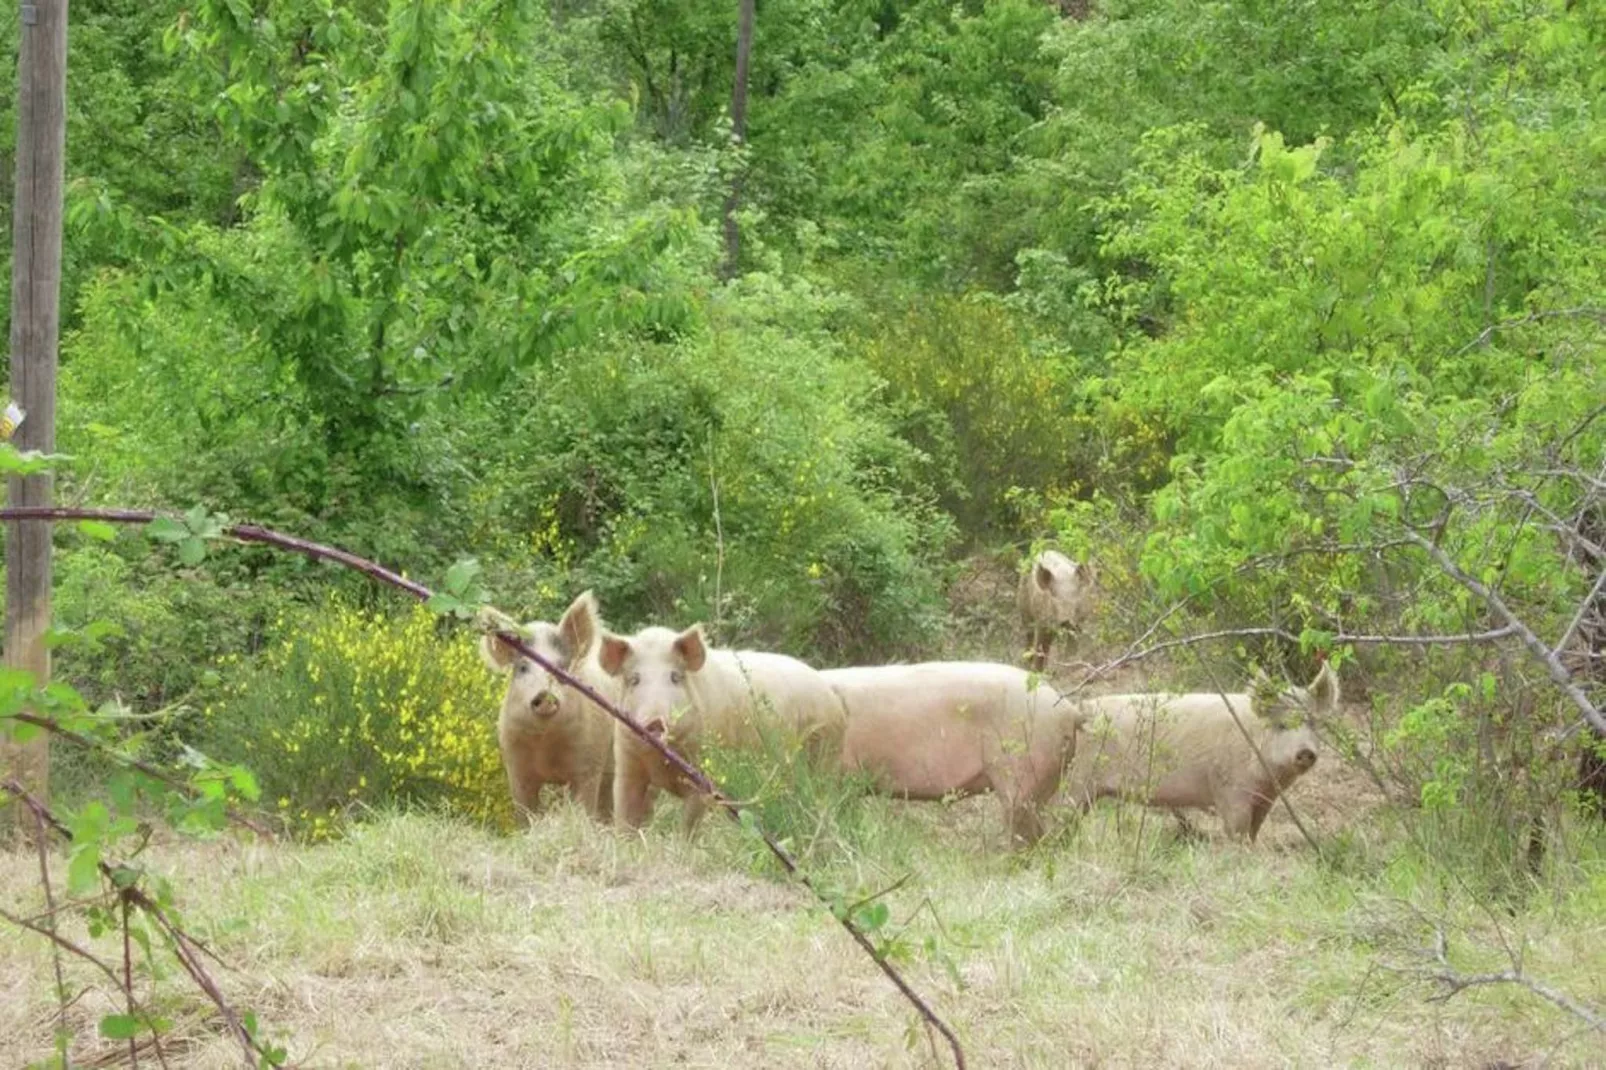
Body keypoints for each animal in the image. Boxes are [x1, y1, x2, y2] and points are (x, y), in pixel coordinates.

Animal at [472, 588, 616, 819]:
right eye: (522, 667)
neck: (546, 743)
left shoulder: (590, 764)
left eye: (561, 668)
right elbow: (525, 812)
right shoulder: (516, 768)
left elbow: (585, 806)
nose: (545, 695)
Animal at [600, 626, 854, 835]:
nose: (655, 721)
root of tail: (830, 694)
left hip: (825, 755)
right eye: (634, 679)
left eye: (675, 677)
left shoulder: (704, 772)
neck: (662, 762)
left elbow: (690, 822)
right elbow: (624, 811)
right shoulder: (627, 761)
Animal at [1059, 658, 1336, 841]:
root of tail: (1078, 711)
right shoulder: (1230, 790)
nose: (1306, 751)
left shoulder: (1265, 799)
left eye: (1314, 723)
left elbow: (1254, 831)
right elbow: (1236, 831)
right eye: (1281, 725)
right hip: (1075, 781)